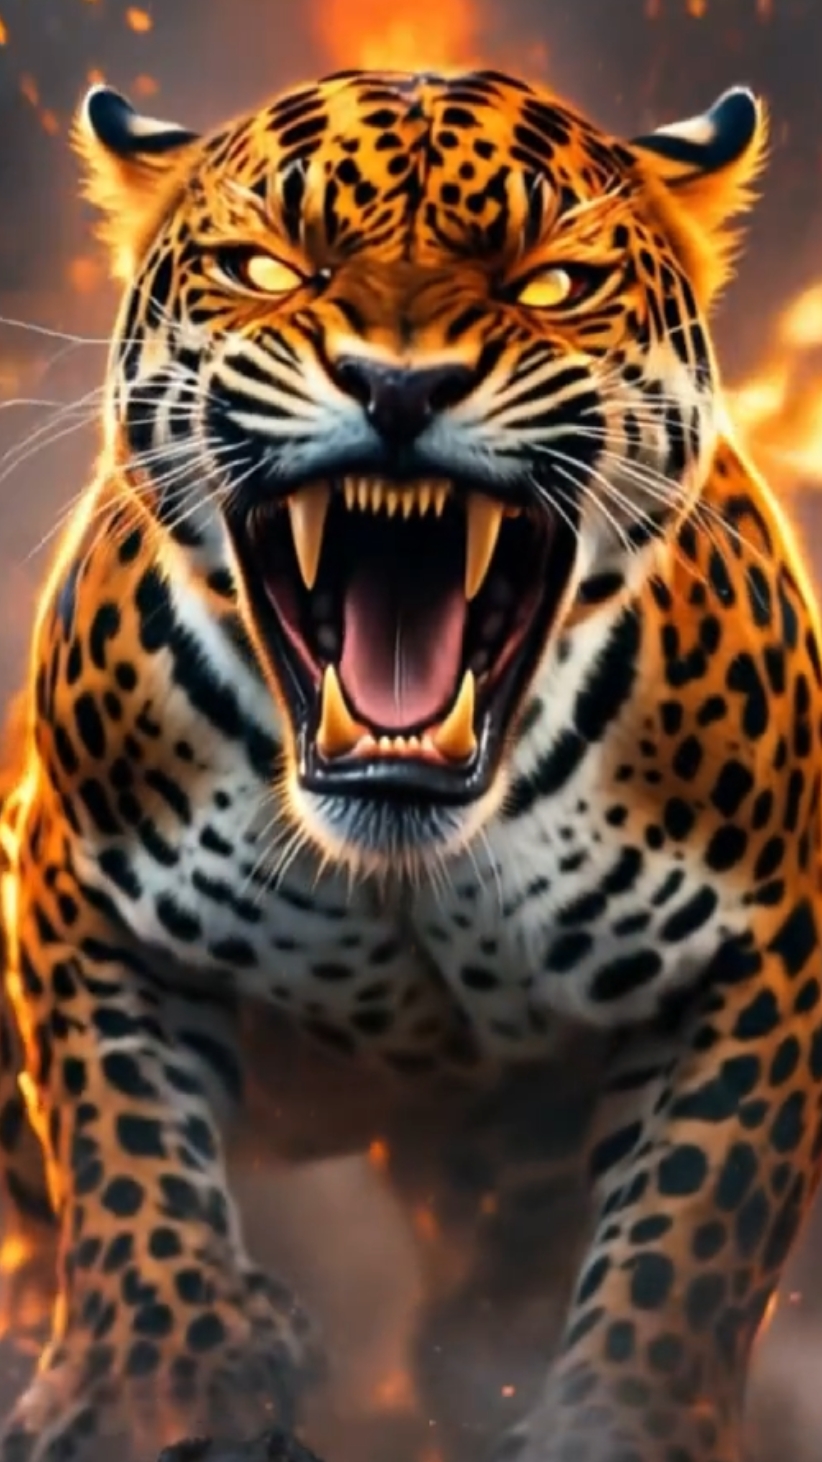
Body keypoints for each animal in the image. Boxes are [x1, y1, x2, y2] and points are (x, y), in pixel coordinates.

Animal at [0, 62, 819, 1462]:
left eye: (550, 282)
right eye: (269, 267)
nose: (397, 387)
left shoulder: (764, 946)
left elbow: (693, 1228)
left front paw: (622, 1413)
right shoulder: (71, 878)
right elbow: (125, 1145)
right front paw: (165, 1377)